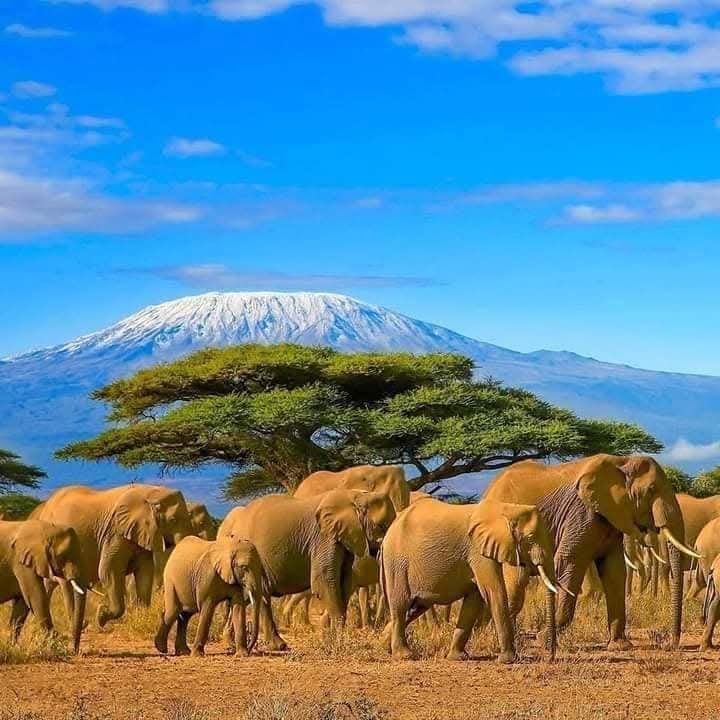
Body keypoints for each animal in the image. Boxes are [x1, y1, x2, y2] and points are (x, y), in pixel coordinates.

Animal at [0, 519, 88, 652]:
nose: (74, 651)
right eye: (63, 555)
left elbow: (22, 604)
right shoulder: (21, 564)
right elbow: (36, 597)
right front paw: (55, 647)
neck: (45, 530)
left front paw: (10, 647)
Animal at [33, 484, 193, 627]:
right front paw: (101, 616)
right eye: (173, 520)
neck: (153, 492)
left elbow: (145, 573)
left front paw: (141, 616)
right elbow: (108, 571)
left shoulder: (141, 533)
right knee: (64, 583)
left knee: (49, 583)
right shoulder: (116, 533)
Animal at [219, 489, 396, 650]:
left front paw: (331, 640)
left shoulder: (343, 539)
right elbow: (324, 581)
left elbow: (344, 582)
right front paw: (337, 644)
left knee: (254, 596)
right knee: (259, 595)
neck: (357, 496)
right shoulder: (324, 538)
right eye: (382, 525)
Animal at [380, 497, 558, 662]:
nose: (550, 656)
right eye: (530, 539)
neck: (506, 509)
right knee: (400, 606)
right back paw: (405, 655)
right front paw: (508, 660)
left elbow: (474, 600)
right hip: (397, 563)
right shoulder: (478, 551)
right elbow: (494, 592)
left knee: (415, 608)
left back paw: (384, 646)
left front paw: (457, 657)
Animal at [484, 454, 696, 649]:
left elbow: (615, 571)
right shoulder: (581, 514)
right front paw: (544, 639)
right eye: (651, 490)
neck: (622, 462)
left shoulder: (611, 518)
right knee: (517, 581)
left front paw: (620, 646)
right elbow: (569, 561)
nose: (671, 644)